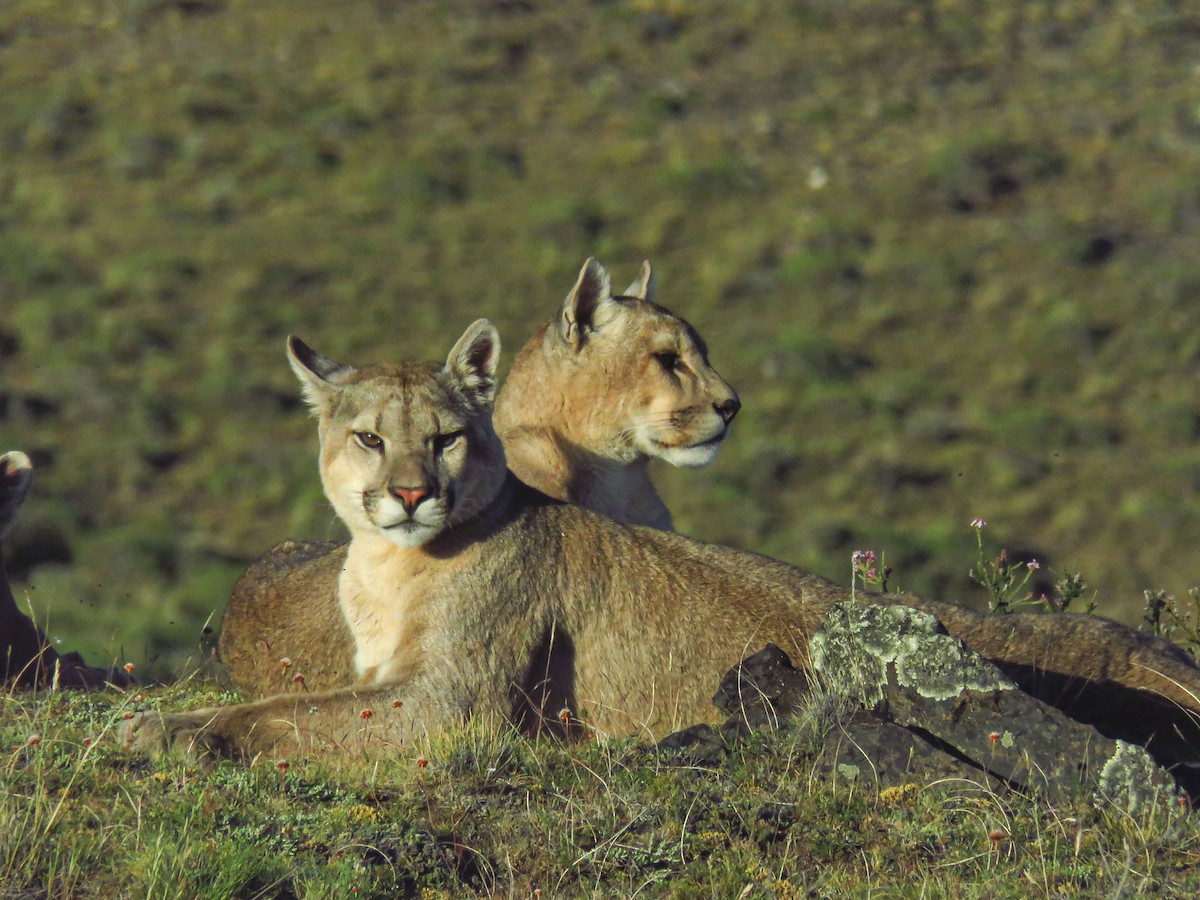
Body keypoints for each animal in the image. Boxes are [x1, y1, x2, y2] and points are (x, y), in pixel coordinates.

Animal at [126, 321, 1200, 780]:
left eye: (444, 437)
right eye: (366, 436)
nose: (410, 493)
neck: (384, 567)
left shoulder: (448, 705)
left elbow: (277, 715)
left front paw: (157, 732)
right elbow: (297, 703)